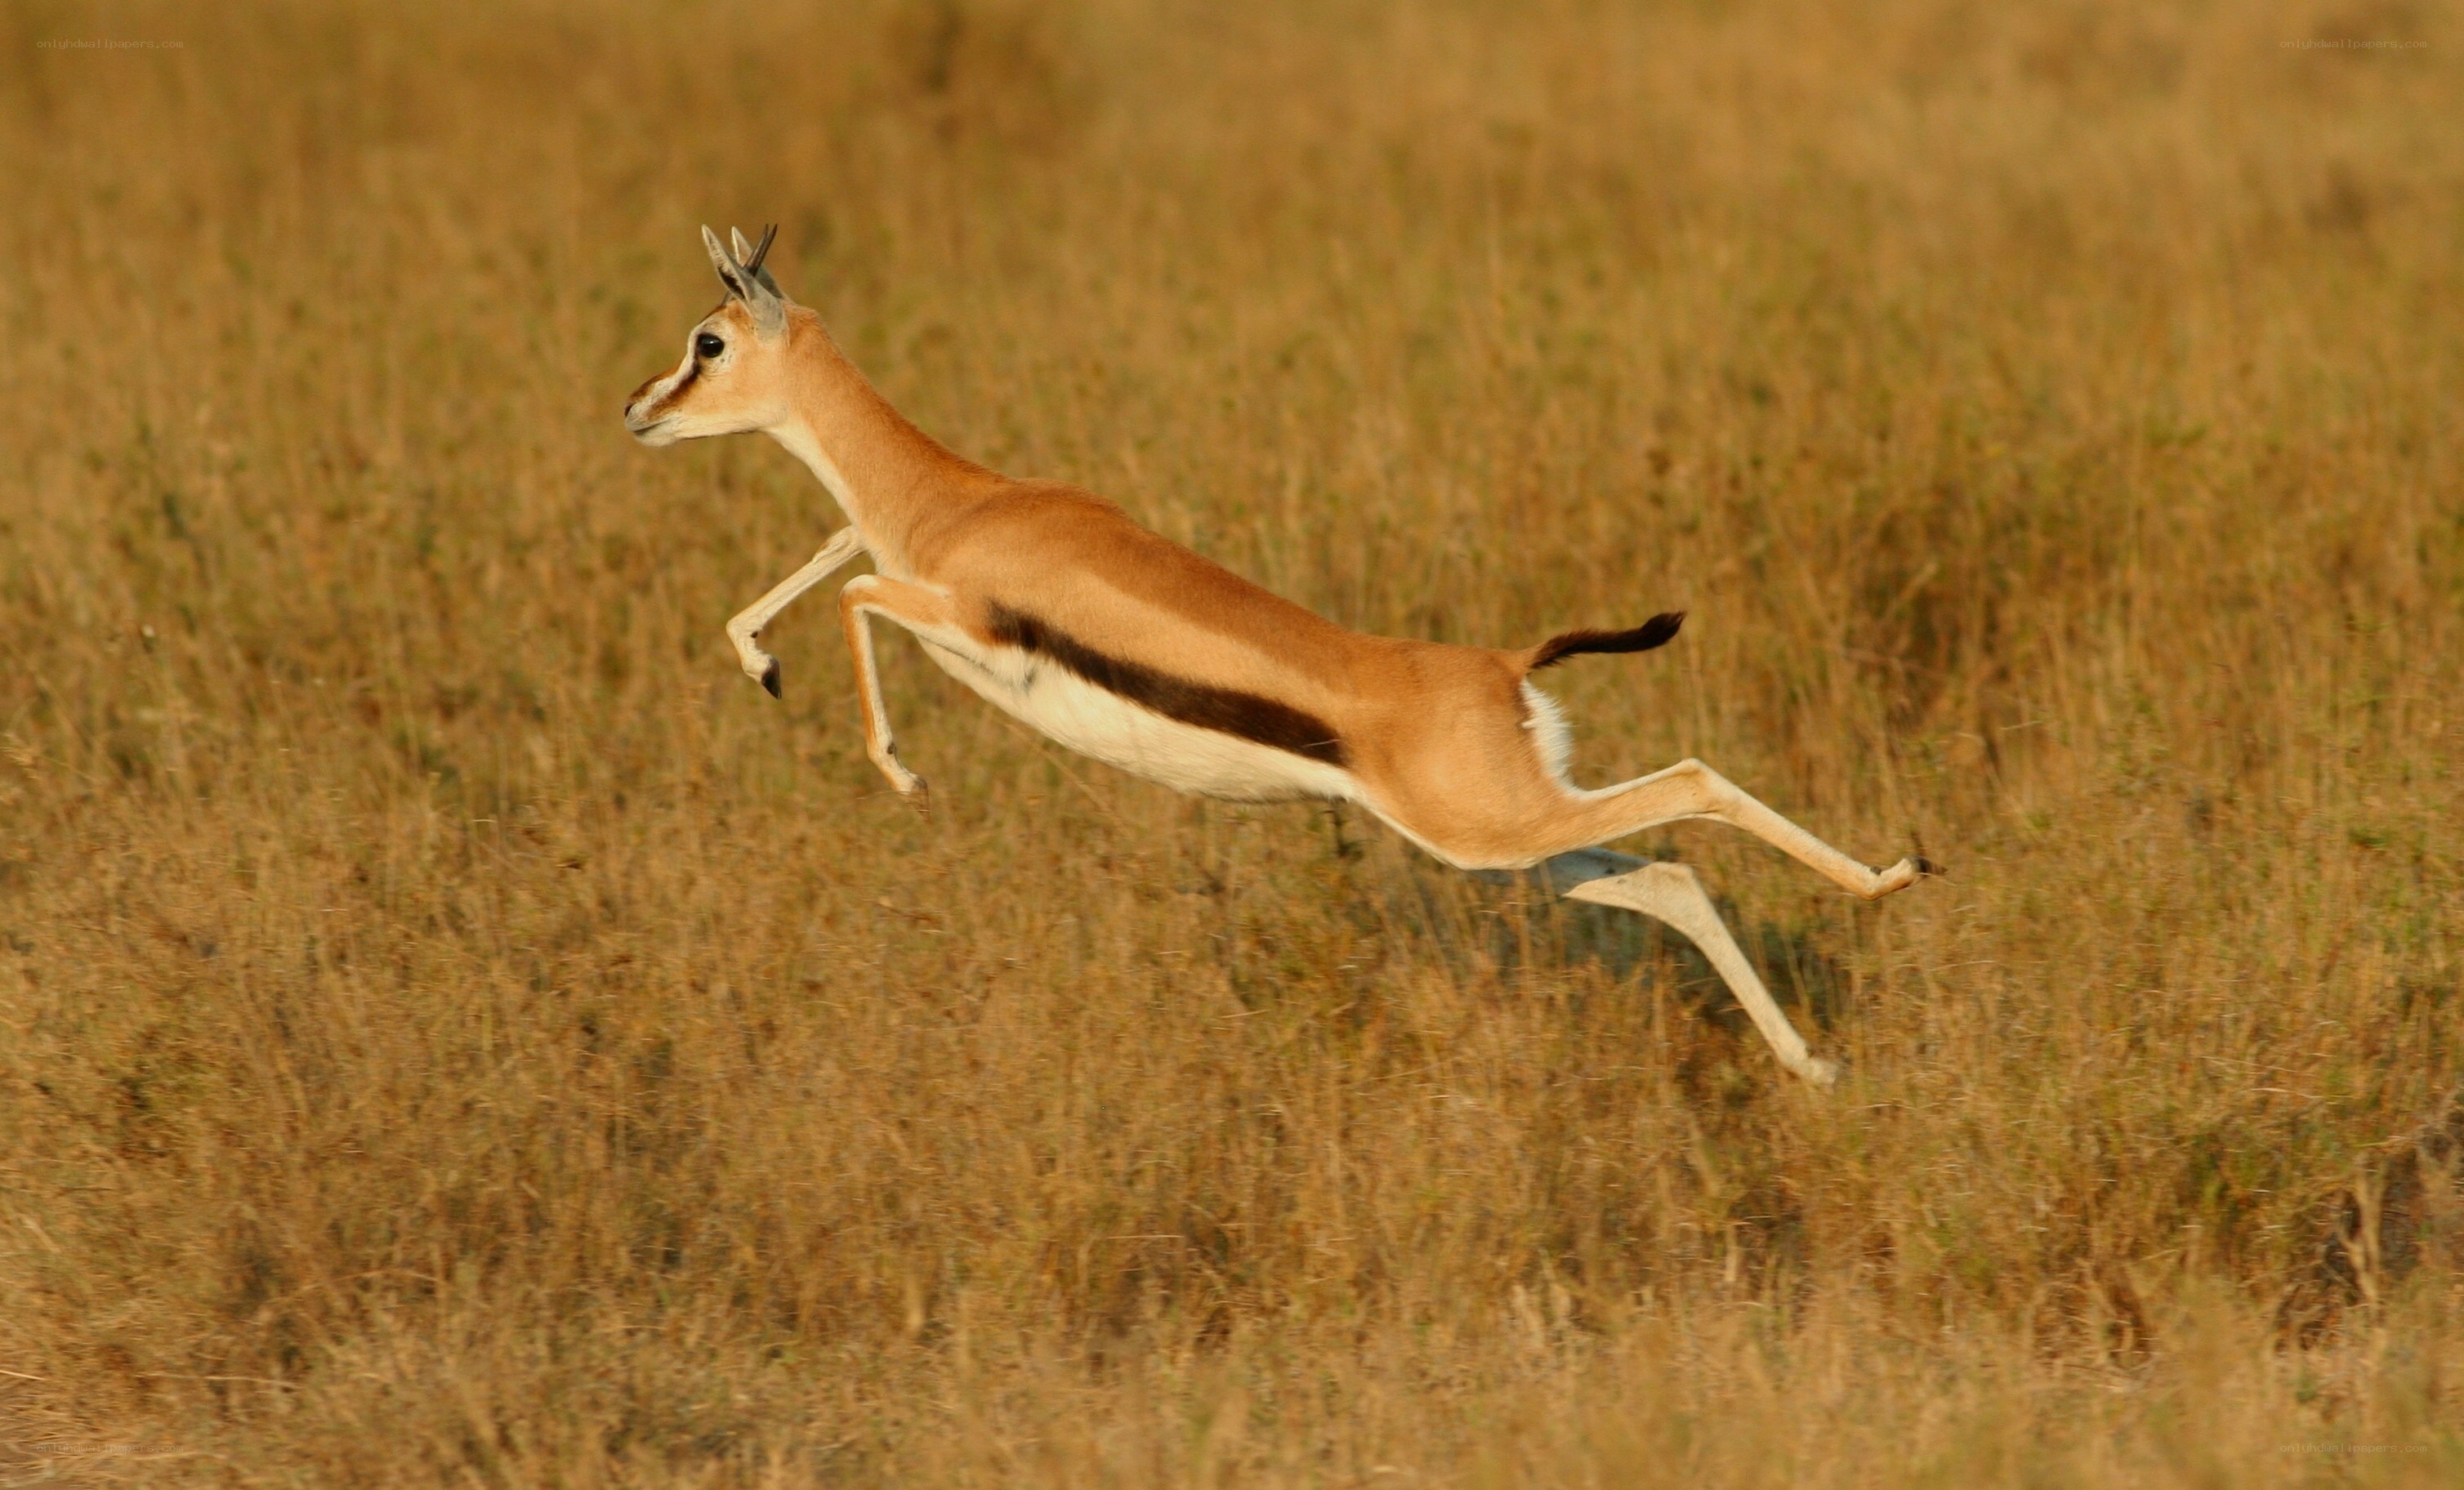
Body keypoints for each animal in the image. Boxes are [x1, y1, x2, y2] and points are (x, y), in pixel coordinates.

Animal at [625, 226, 1938, 1085]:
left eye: (707, 340)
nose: (637, 408)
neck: (961, 502)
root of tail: (1503, 663)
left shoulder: (958, 617)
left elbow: (852, 586)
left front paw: (897, 769)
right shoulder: (901, 561)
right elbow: (827, 558)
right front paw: (761, 664)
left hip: (1491, 833)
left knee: (1696, 784)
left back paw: (1898, 877)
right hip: (1513, 845)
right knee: (1666, 876)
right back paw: (1814, 1064)